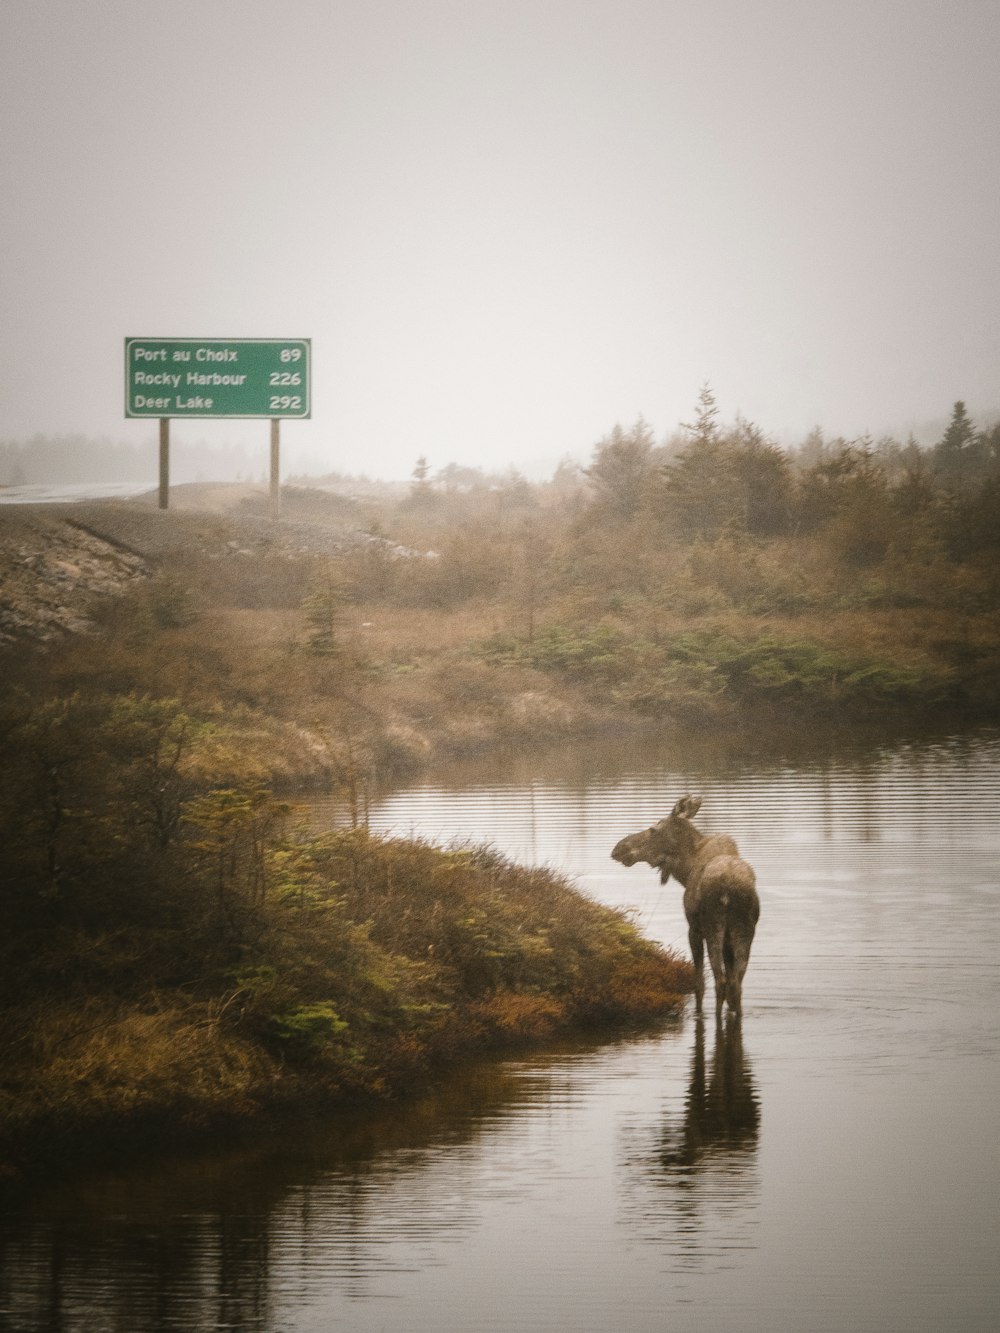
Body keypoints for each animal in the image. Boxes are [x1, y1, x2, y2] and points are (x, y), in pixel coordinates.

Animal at [610, 799, 757, 1018]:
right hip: (744, 931)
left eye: (653, 829)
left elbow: (699, 983)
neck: (686, 870)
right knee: (735, 984)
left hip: (712, 927)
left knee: (719, 982)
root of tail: (729, 890)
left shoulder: (693, 929)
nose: (618, 848)